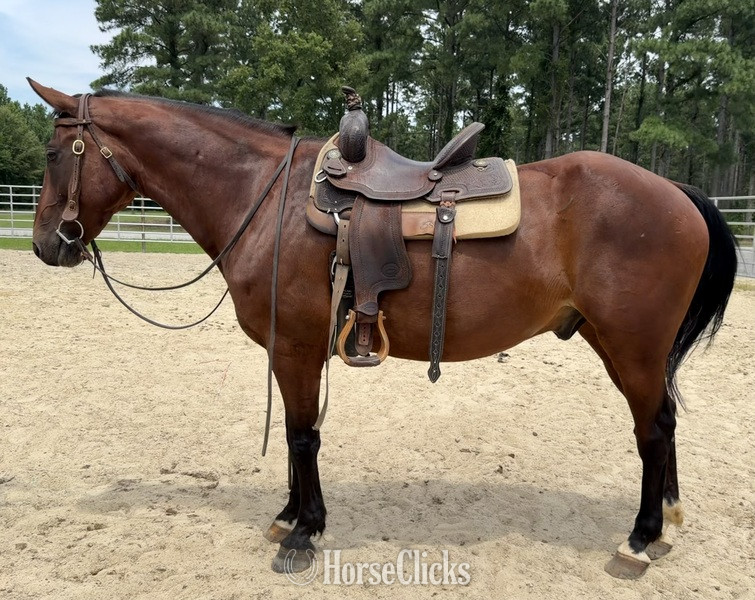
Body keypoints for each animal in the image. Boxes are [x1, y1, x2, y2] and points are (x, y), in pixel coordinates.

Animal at [26, 79, 737, 578]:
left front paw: (304, 531)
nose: (45, 245)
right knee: (663, 421)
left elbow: (302, 436)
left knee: (653, 430)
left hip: (632, 345)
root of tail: (676, 190)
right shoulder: (294, 351)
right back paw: (665, 522)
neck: (264, 198)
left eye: (55, 152)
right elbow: (298, 437)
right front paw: (289, 516)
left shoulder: (296, 347)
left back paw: (639, 539)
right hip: (616, 342)